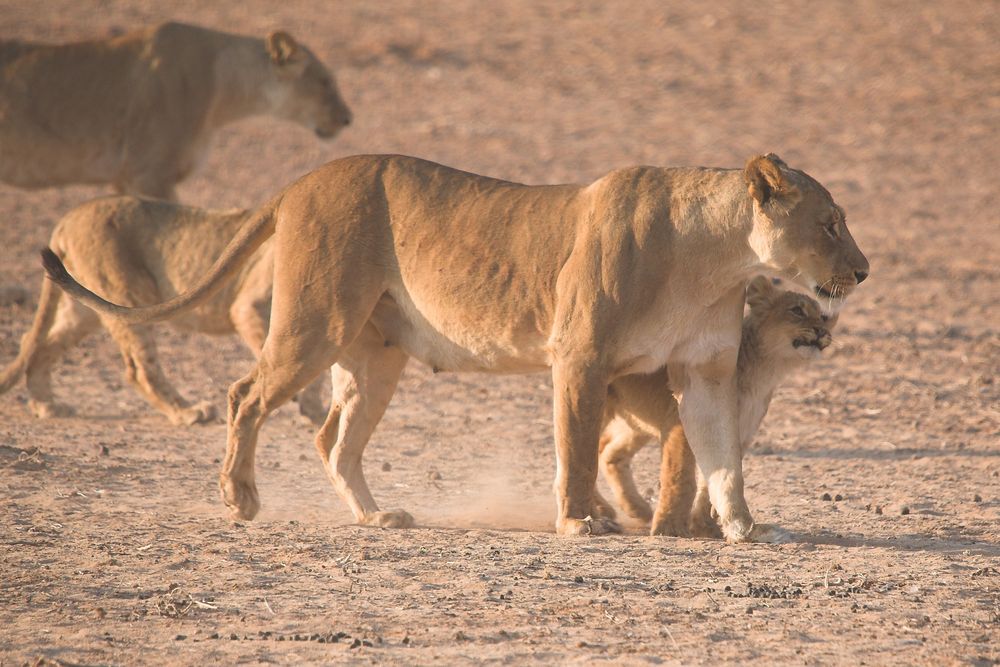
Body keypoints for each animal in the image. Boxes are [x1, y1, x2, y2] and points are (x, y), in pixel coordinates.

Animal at [0, 198, 324, 426]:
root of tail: (68, 219)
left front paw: (315, 411)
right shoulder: (248, 306)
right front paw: (309, 409)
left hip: (86, 310)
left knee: (38, 342)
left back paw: (47, 404)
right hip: (126, 294)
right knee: (140, 370)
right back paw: (187, 412)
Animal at [592, 276, 836, 536]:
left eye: (823, 317)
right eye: (797, 310)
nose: (822, 331)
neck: (766, 371)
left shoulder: (737, 432)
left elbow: (718, 475)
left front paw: (705, 527)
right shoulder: (682, 421)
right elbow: (680, 477)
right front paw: (668, 528)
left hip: (637, 421)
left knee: (608, 452)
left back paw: (638, 510)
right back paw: (600, 511)